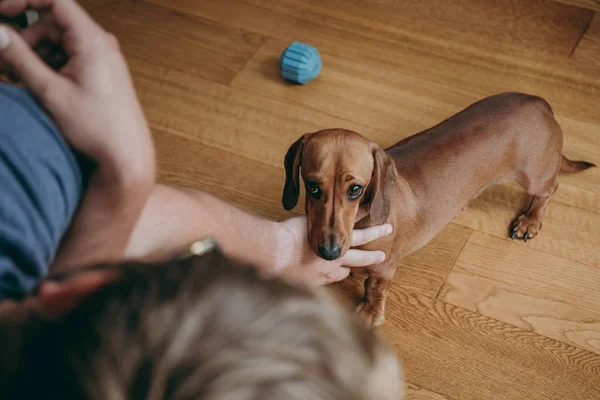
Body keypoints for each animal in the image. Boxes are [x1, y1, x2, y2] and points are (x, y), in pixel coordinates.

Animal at [282, 93, 596, 328]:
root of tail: (539, 102)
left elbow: (375, 289)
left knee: (549, 189)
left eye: (355, 189)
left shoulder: (385, 267)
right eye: (312, 186)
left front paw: (370, 314)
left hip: (534, 175)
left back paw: (530, 220)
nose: (329, 252)